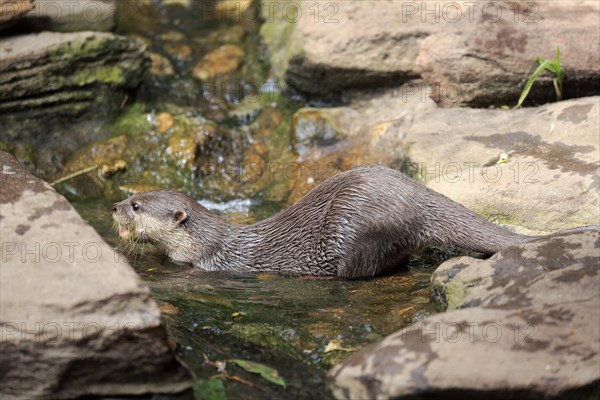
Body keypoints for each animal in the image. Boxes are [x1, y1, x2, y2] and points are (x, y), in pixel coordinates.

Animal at [112, 165, 536, 278]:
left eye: (136, 206)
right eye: (130, 194)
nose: (114, 207)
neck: (209, 243)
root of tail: (415, 194)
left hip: (355, 223)